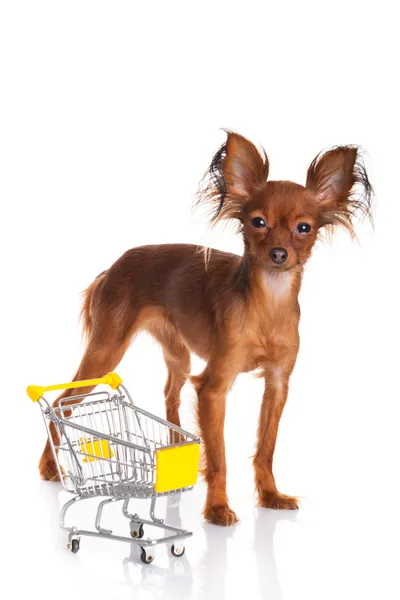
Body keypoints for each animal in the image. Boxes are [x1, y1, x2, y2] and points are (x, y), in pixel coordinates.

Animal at [39, 131, 374, 524]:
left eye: (303, 228)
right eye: (257, 222)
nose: (279, 254)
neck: (267, 306)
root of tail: (112, 268)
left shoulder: (277, 384)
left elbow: (266, 448)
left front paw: (270, 496)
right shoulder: (214, 388)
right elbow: (219, 457)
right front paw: (217, 507)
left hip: (177, 355)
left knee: (170, 392)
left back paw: (172, 452)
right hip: (106, 351)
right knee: (61, 403)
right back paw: (50, 467)